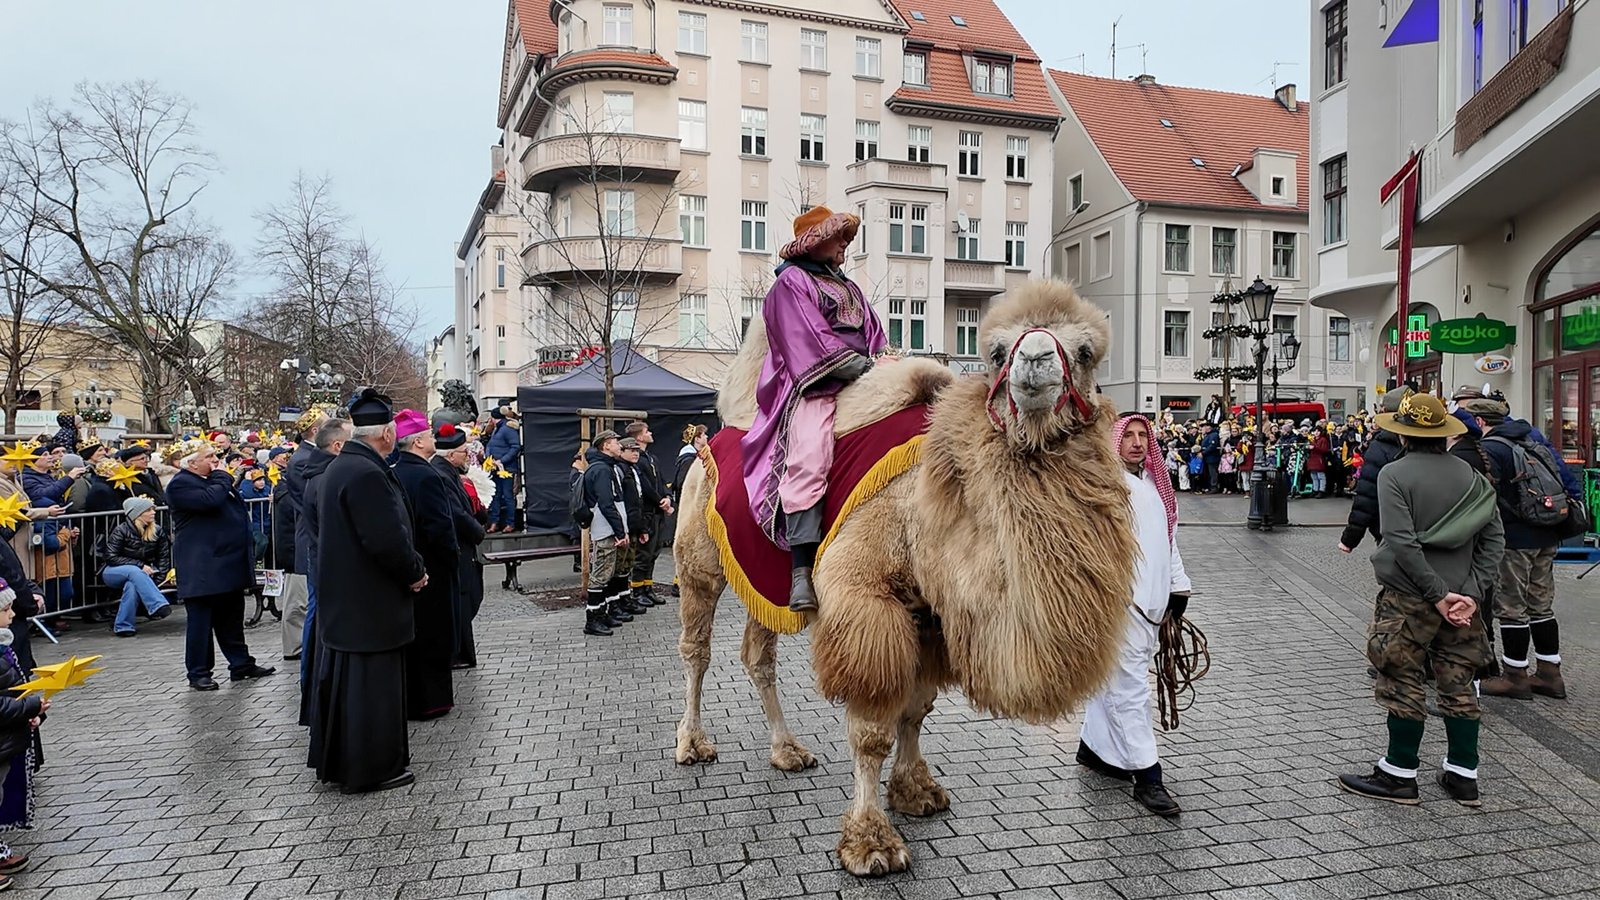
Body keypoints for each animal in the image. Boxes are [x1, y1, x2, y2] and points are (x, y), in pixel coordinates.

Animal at [672, 278, 1139, 871]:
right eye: (995, 351)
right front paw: (871, 841)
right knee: (697, 650)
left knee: (758, 655)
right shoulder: (869, 602)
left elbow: (916, 710)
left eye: (1085, 352)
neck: (930, 507)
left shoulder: (931, 616)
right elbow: (872, 728)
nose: (1034, 360)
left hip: (762, 578)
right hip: (698, 563)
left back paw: (787, 750)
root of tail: (707, 441)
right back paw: (692, 744)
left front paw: (916, 791)